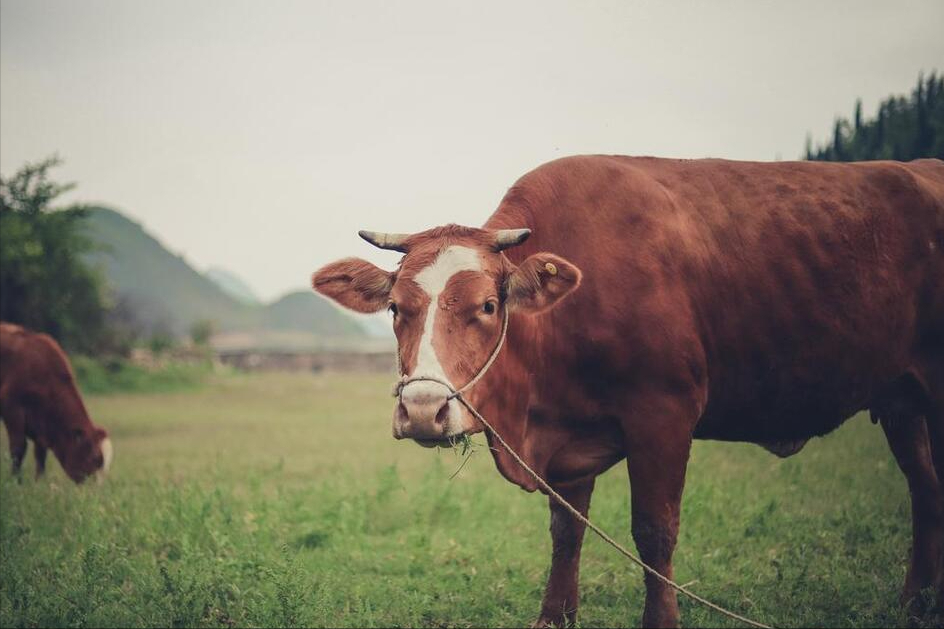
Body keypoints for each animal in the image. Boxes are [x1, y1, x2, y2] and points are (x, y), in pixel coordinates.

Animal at [0, 322, 113, 484]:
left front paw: (39, 482)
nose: (94, 486)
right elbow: (18, 447)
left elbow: (40, 454)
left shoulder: (40, 428)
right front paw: (16, 480)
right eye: (94, 458)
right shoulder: (12, 408)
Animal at [312, 155, 944, 624]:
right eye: (396, 307)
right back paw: (914, 604)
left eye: (488, 306)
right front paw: (554, 616)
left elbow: (655, 531)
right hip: (902, 401)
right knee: (925, 487)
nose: (423, 410)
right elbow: (566, 531)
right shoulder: (567, 439)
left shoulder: (664, 415)